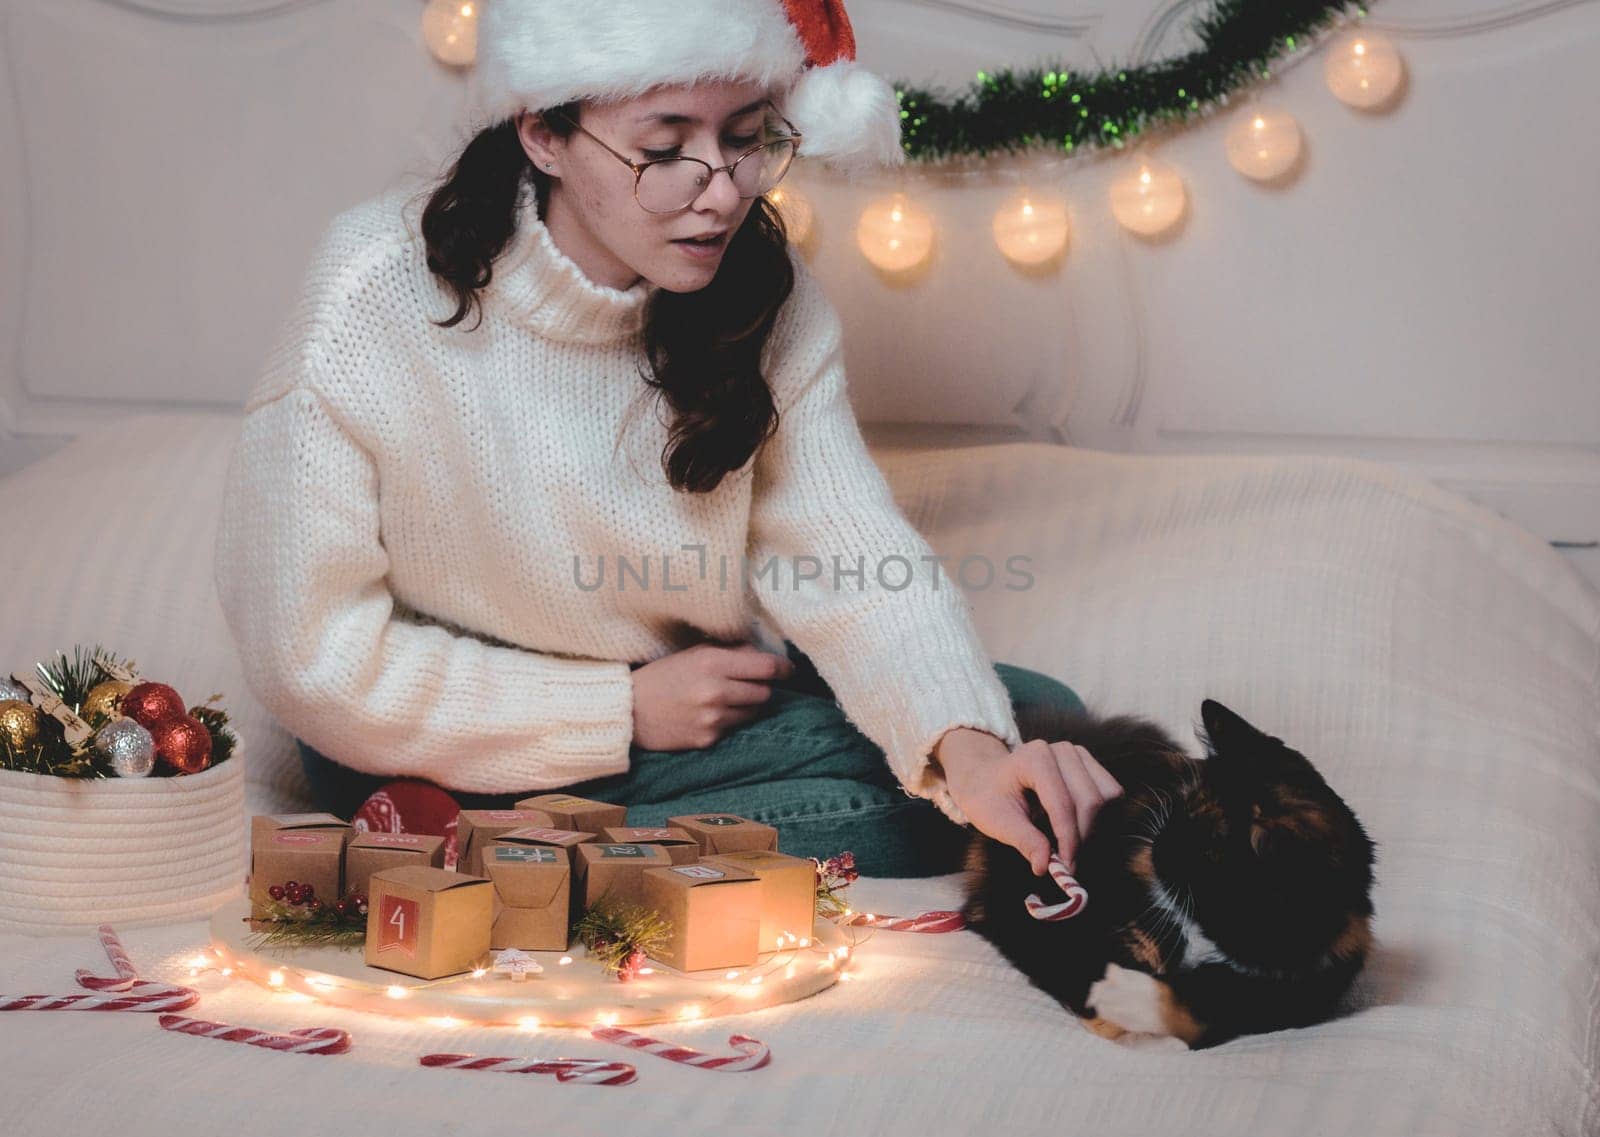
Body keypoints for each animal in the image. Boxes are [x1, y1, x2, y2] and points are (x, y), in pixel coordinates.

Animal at [960, 694, 1376, 1049]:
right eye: (1184, 803)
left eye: (1208, 848)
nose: (1158, 843)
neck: (1210, 931)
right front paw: (1108, 1008)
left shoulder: (1295, 994)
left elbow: (1201, 1012)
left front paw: (1122, 998)